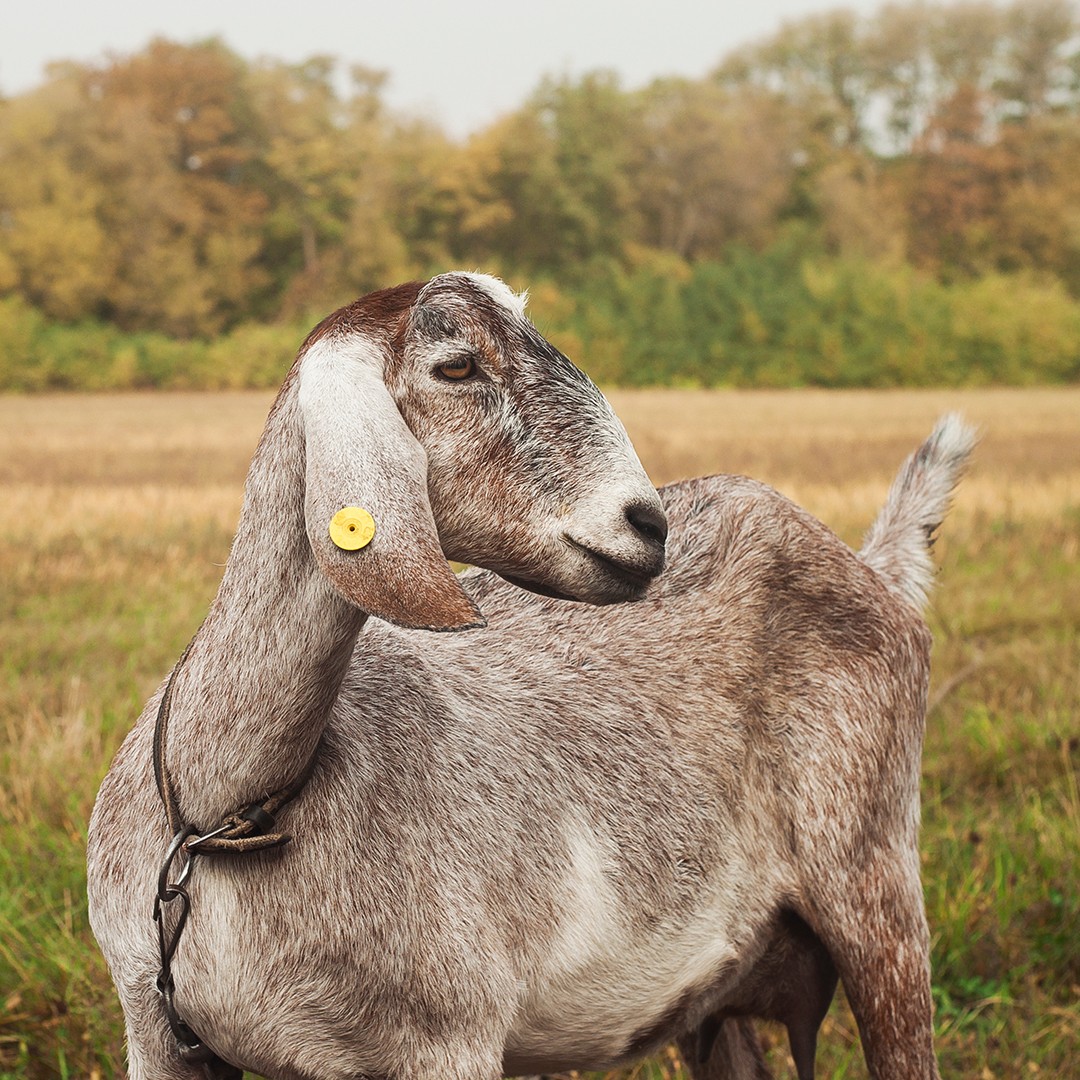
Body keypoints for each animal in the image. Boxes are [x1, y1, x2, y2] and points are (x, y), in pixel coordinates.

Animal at [88, 272, 976, 1080]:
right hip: (719, 988)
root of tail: (874, 568)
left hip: (876, 886)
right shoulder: (155, 1028)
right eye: (456, 366)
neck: (230, 812)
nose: (648, 525)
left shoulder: (449, 1038)